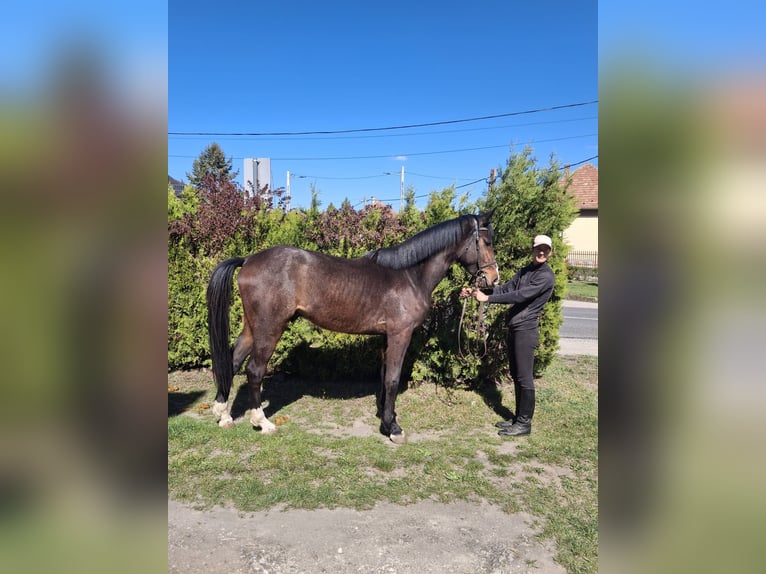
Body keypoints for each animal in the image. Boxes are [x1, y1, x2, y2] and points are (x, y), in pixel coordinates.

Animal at [206, 212, 499, 443]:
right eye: (486, 242)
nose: (493, 280)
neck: (409, 276)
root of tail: (248, 260)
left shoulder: (386, 337)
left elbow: (384, 377)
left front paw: (386, 417)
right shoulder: (400, 334)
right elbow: (393, 379)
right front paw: (394, 428)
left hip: (252, 327)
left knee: (232, 361)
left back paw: (224, 415)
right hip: (270, 328)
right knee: (254, 370)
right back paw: (262, 422)